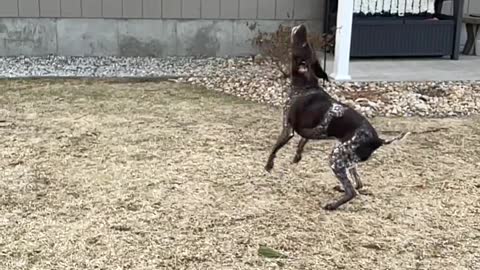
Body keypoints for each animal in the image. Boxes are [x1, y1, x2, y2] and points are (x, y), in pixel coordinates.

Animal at [264, 24, 406, 211]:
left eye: (303, 44)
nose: (302, 26)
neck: (305, 85)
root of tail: (379, 140)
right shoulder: (309, 131)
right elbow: (303, 141)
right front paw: (297, 157)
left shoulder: (287, 129)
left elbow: (274, 149)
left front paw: (268, 166)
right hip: (347, 159)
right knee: (357, 184)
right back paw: (341, 189)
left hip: (336, 158)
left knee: (352, 191)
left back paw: (332, 205)